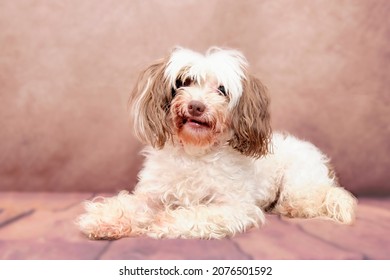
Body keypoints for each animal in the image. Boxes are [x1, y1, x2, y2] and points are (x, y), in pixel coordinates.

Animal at [77, 47, 358, 240]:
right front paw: (104, 219)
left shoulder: (234, 208)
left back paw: (293, 207)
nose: (196, 106)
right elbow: (130, 205)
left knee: (313, 199)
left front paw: (165, 222)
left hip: (299, 181)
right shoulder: (153, 195)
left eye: (221, 90)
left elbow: (198, 213)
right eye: (184, 82)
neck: (195, 152)